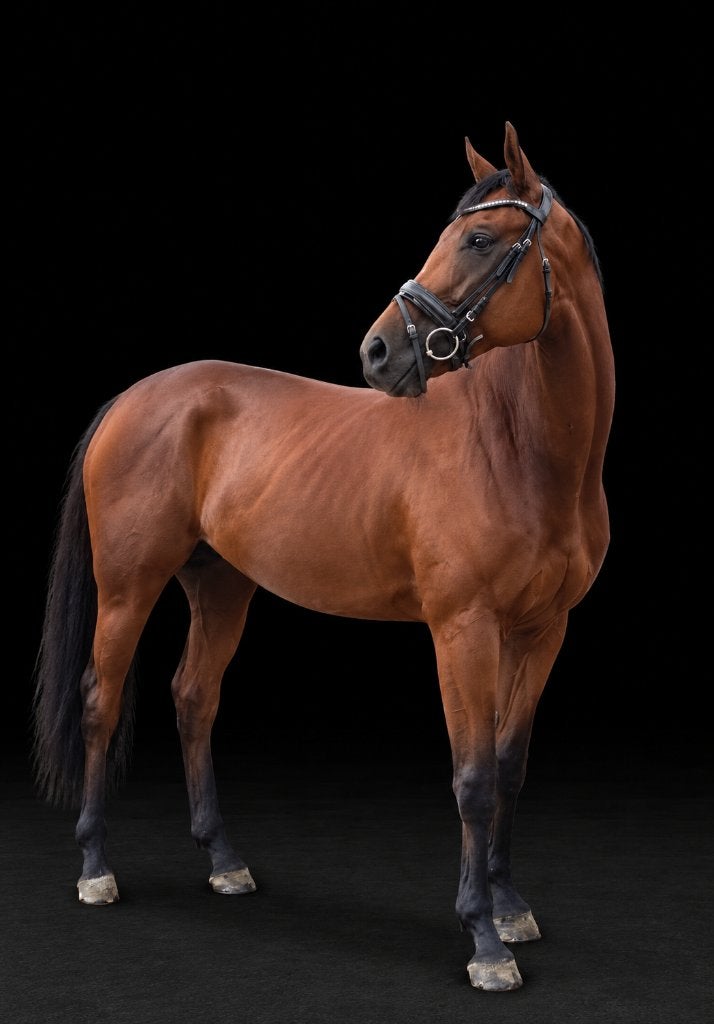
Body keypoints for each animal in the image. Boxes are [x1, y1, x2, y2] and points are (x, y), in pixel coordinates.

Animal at [32, 121, 615, 992]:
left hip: (222, 587)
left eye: (479, 239)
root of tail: (133, 398)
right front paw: (484, 940)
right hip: (128, 587)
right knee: (101, 700)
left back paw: (225, 862)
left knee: (193, 696)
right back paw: (96, 868)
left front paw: (511, 908)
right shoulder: (463, 630)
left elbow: (509, 766)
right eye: (451, 234)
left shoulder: (543, 631)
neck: (522, 450)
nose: (376, 352)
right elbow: (473, 778)